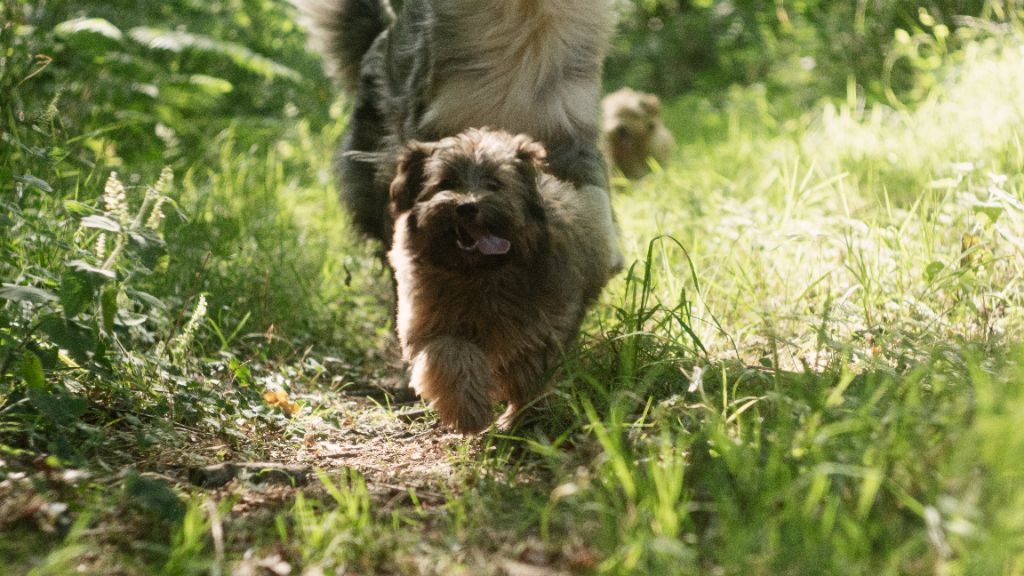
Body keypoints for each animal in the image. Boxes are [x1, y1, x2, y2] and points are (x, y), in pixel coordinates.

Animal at [292, 0, 618, 258]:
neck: (522, 16)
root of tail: (379, 39)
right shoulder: (431, 126)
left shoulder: (572, 133)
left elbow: (595, 193)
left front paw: (609, 253)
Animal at [389, 126, 614, 430]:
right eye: (447, 182)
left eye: (494, 184)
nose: (467, 207)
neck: (479, 273)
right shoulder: (431, 322)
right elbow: (450, 355)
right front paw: (469, 411)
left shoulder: (537, 326)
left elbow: (525, 370)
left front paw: (519, 415)